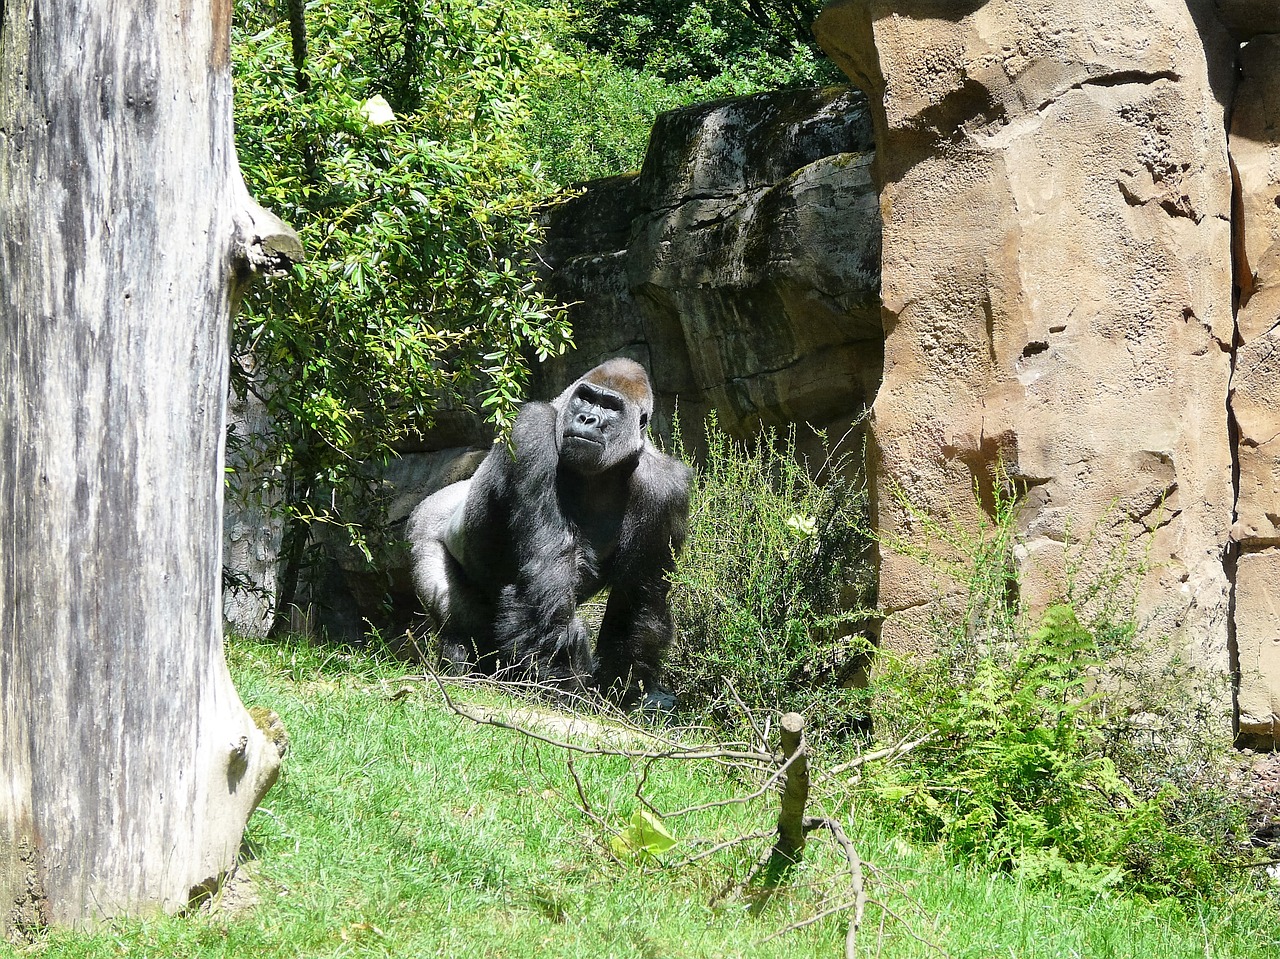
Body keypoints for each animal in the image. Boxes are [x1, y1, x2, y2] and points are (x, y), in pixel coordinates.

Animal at [407, 358, 691, 701]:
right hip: (424, 529)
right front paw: (565, 687)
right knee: (457, 615)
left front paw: (623, 691)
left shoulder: (666, 487)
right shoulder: (533, 430)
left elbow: (638, 600)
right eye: (586, 398)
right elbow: (546, 575)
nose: (587, 418)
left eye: (611, 406)